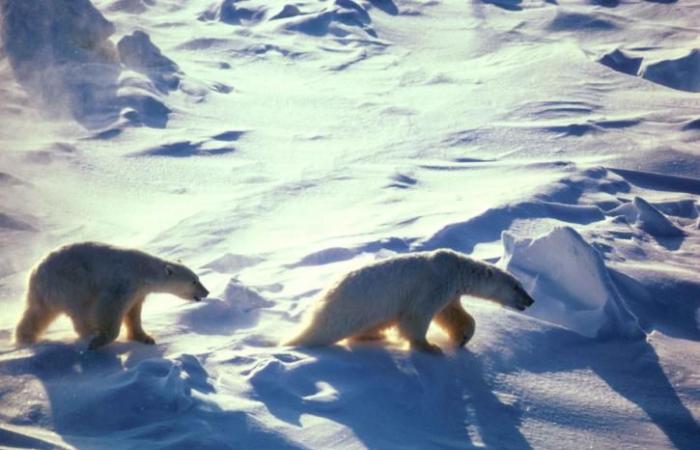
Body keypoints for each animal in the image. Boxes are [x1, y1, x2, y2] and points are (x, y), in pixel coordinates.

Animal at [15, 243, 209, 352]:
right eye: (194, 281)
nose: (206, 292)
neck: (143, 271)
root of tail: (35, 272)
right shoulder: (122, 282)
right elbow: (111, 308)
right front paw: (100, 339)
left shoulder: (138, 291)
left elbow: (134, 313)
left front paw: (146, 338)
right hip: (70, 283)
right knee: (80, 309)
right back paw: (90, 334)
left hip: (46, 292)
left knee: (37, 313)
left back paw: (24, 338)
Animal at [284, 248, 536, 354]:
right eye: (517, 286)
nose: (531, 300)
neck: (457, 269)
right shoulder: (433, 283)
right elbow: (416, 316)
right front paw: (431, 347)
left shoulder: (449, 291)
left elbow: (452, 314)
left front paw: (462, 338)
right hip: (349, 308)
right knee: (321, 332)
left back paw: (374, 335)